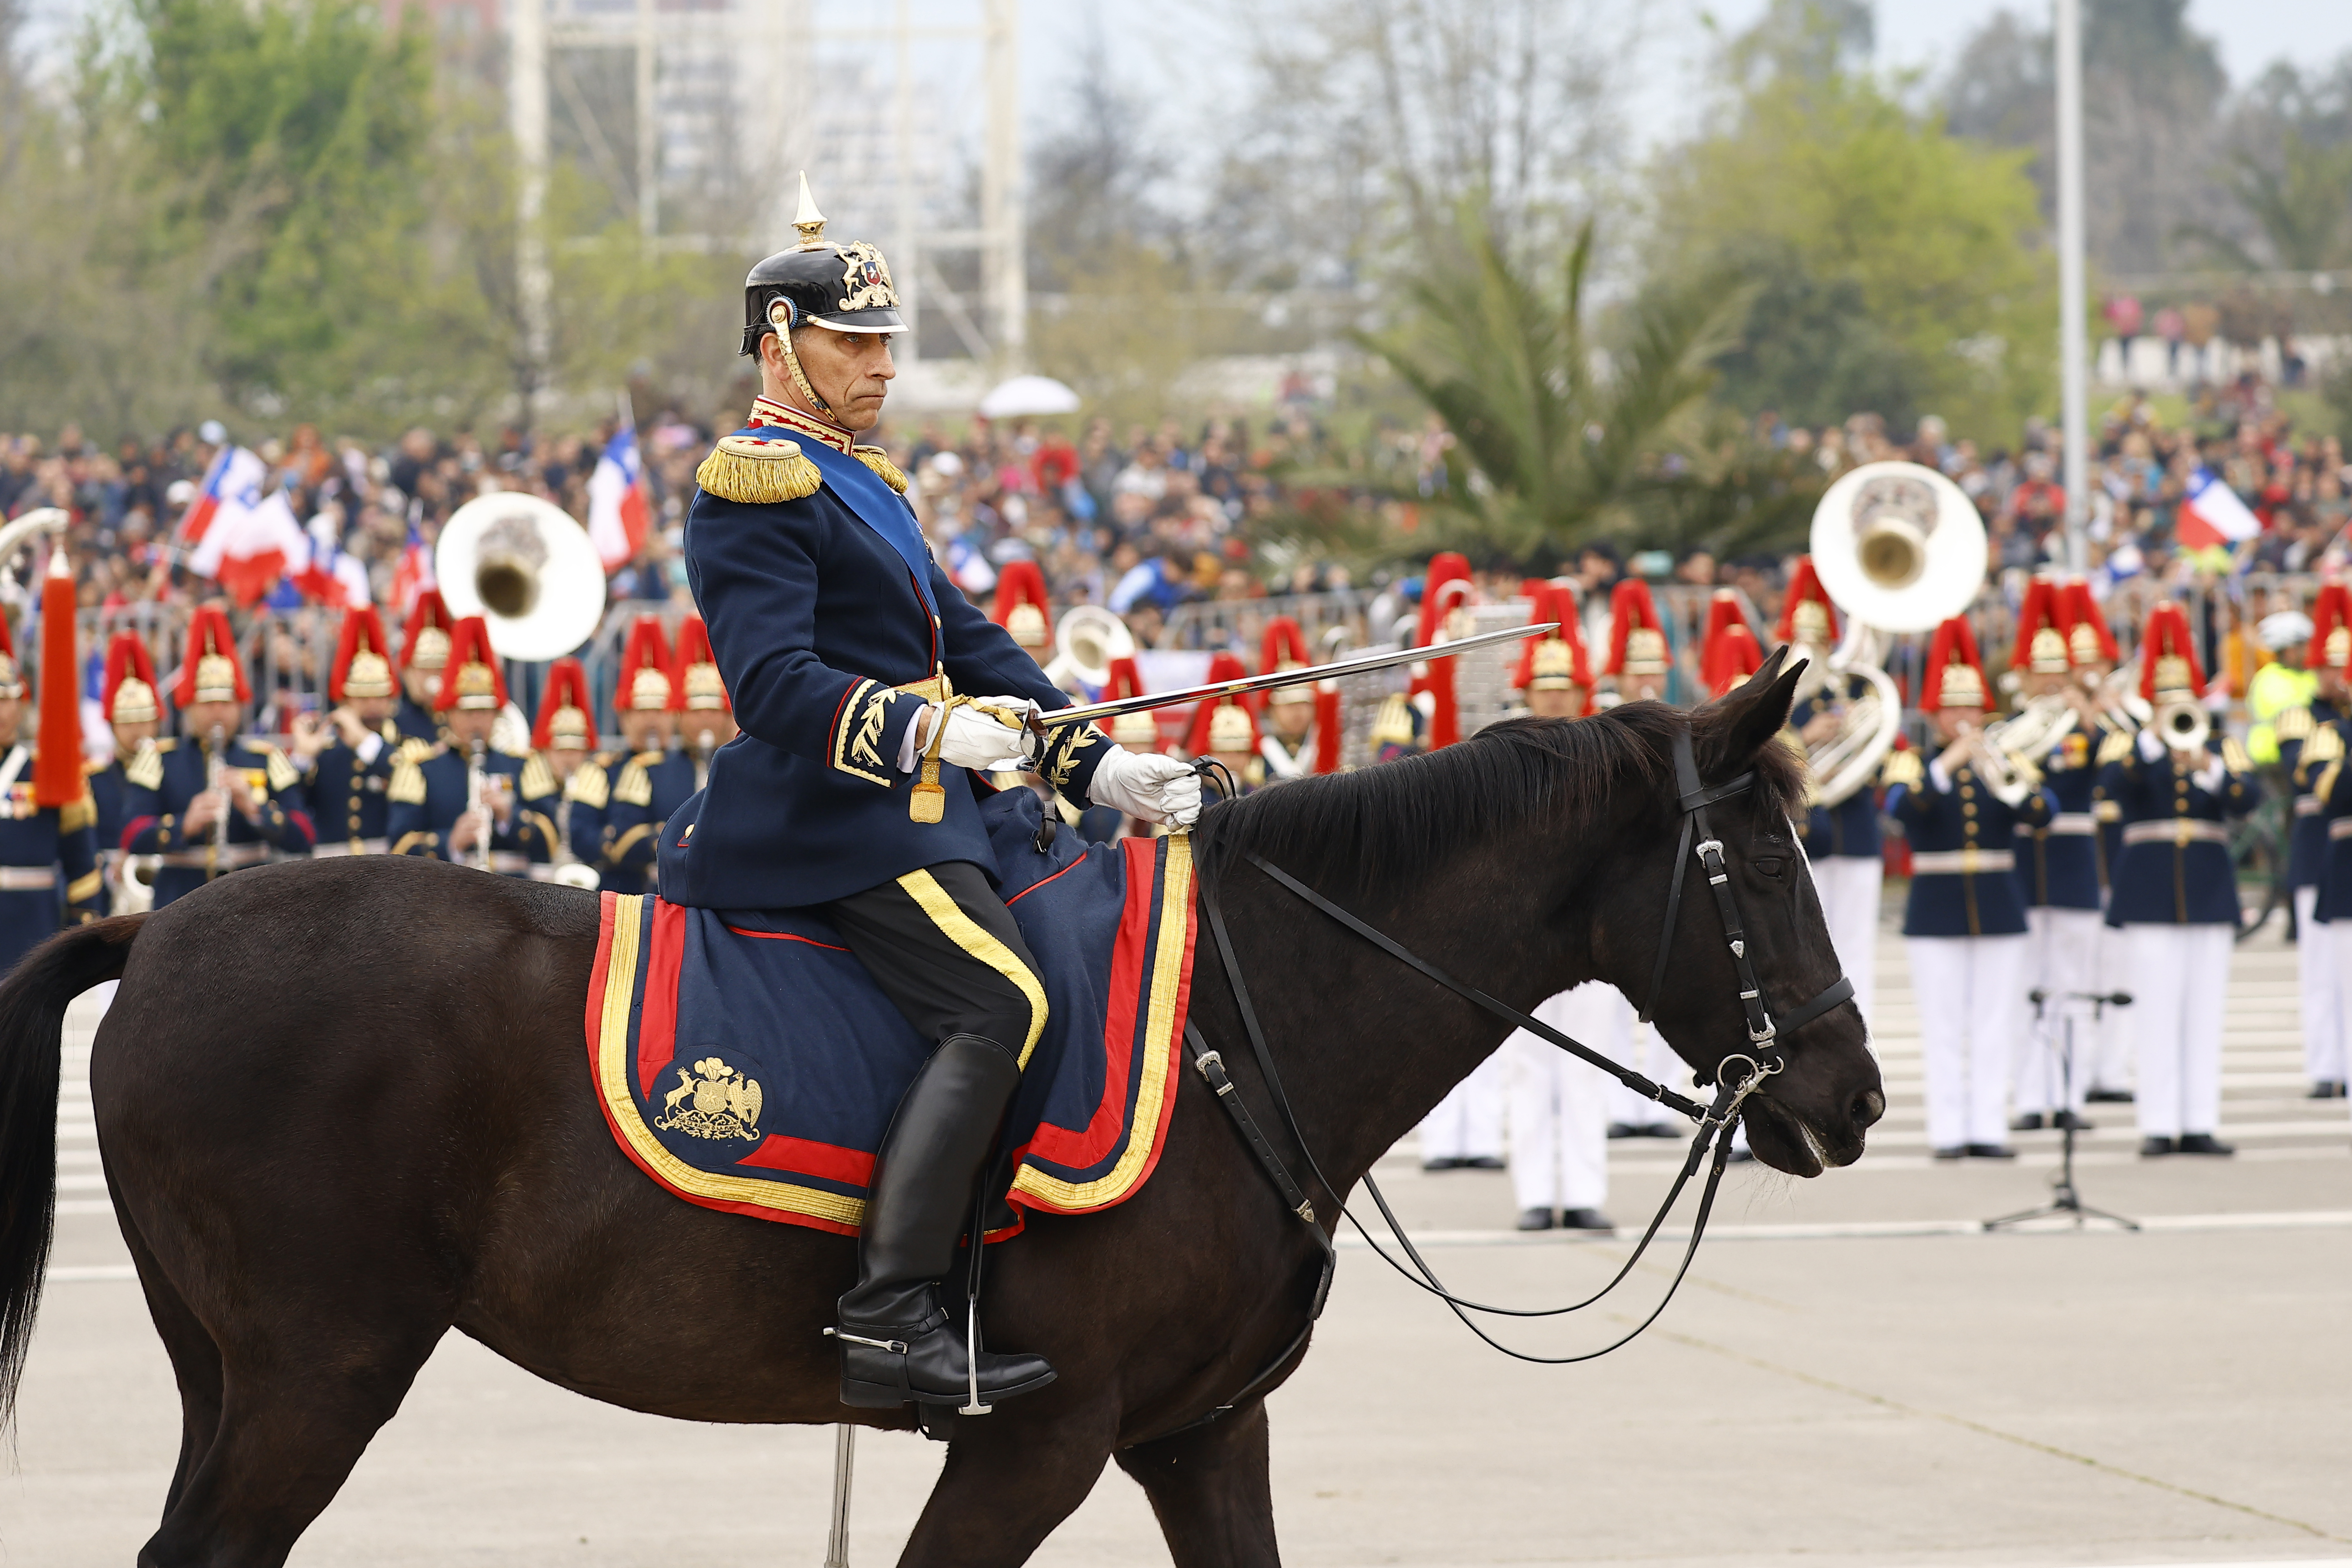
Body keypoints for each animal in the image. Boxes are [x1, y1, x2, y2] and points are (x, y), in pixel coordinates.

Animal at [0, 658, 1872, 1561]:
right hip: (319, 1373)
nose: (1848, 1093)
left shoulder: (1198, 1433)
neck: (1241, 1018)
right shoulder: (1034, 1441)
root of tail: (160, 924)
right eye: (1764, 859)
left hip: (232, 1373)